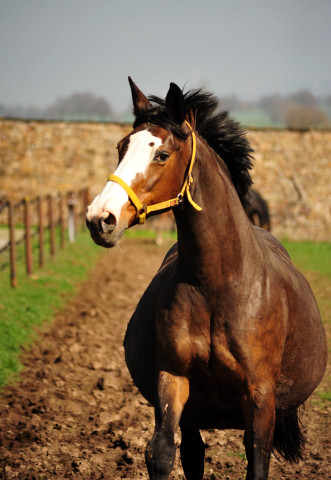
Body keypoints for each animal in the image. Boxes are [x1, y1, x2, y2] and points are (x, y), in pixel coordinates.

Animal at [85, 79, 326, 480]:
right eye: (121, 147)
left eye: (161, 154)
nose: (99, 217)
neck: (219, 285)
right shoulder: (173, 378)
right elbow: (161, 454)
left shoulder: (259, 398)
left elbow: (257, 463)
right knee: (193, 453)